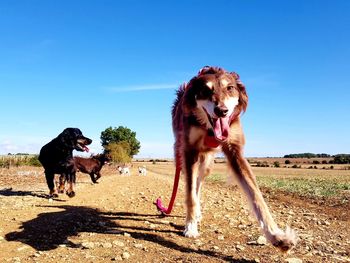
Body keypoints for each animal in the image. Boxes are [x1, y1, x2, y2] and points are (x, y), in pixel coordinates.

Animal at [157, 66, 296, 252]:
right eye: (205, 90)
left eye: (230, 88)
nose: (221, 111)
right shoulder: (189, 151)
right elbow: (190, 195)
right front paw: (190, 227)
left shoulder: (235, 151)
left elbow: (256, 195)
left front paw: (277, 236)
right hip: (182, 154)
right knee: (193, 184)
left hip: (206, 162)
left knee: (199, 182)